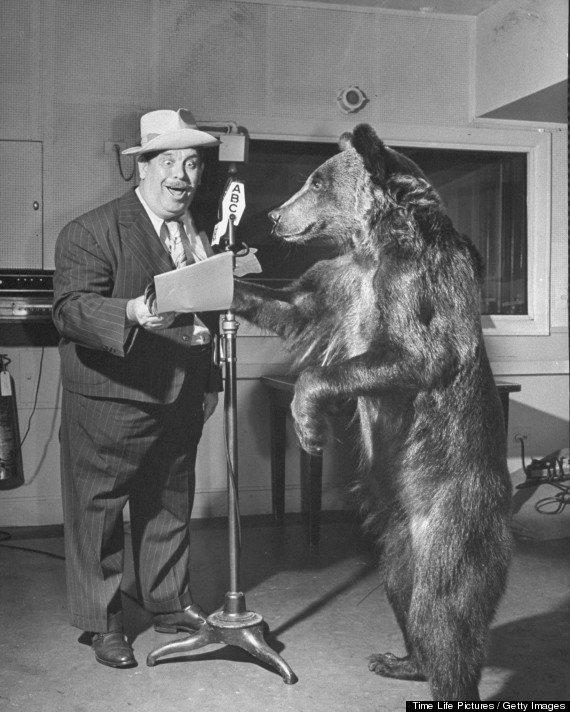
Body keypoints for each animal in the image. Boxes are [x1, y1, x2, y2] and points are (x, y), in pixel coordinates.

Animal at [229, 124, 512, 700]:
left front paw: (308, 424)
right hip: (398, 537)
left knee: (443, 611)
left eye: (315, 181)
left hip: (454, 523)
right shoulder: (341, 283)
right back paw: (401, 660)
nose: (274, 216)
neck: (373, 245)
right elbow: (290, 305)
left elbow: (414, 355)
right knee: (401, 590)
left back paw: (445, 676)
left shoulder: (417, 288)